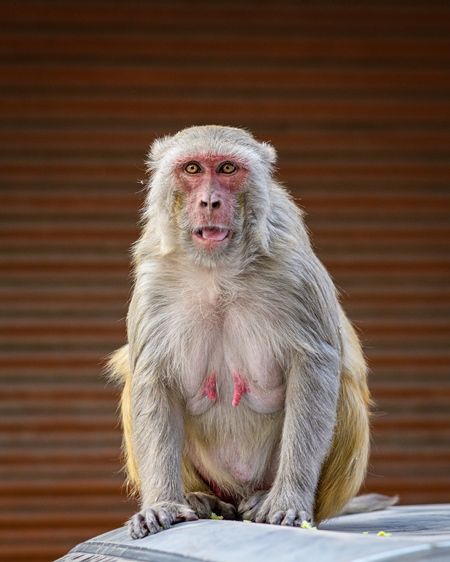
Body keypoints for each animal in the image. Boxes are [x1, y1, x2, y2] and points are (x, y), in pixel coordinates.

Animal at [109, 124, 372, 536]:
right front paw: (162, 504)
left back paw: (265, 497)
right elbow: (152, 380)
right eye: (193, 168)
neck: (217, 271)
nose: (210, 202)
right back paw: (199, 498)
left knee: (340, 384)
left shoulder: (293, 270)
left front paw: (288, 500)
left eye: (228, 168)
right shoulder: (154, 281)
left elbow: (315, 366)